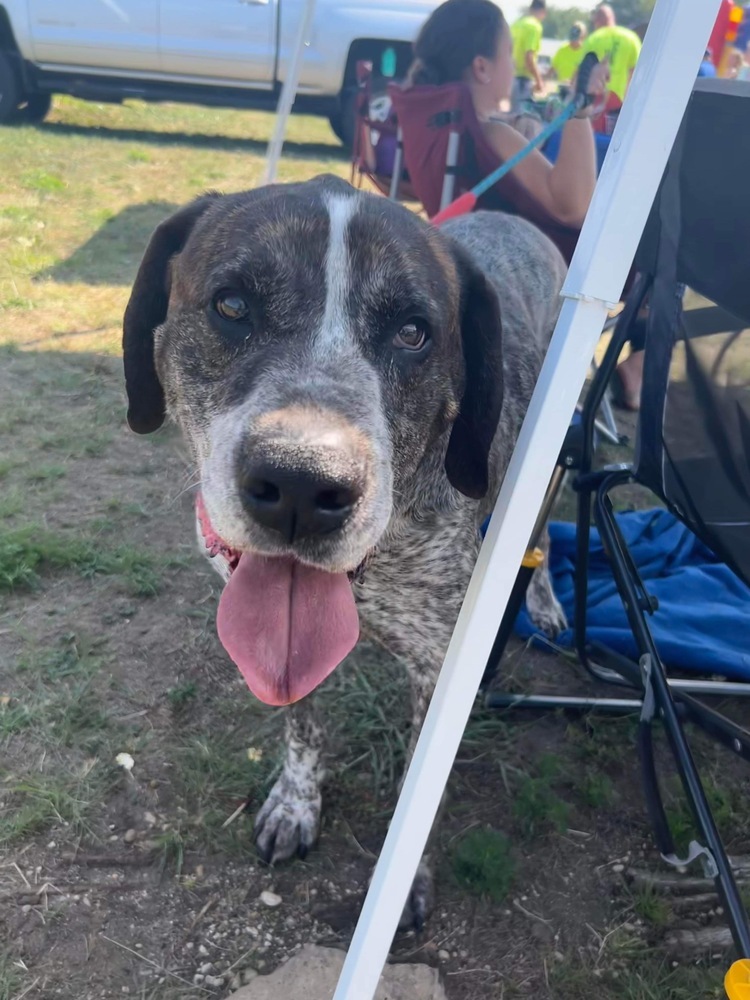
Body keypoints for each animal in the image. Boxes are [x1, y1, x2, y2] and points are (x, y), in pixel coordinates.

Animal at [123, 174, 568, 928]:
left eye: (413, 332)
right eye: (232, 305)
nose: (302, 484)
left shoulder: (437, 666)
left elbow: (416, 787)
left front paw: (401, 880)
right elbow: (302, 724)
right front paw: (296, 804)